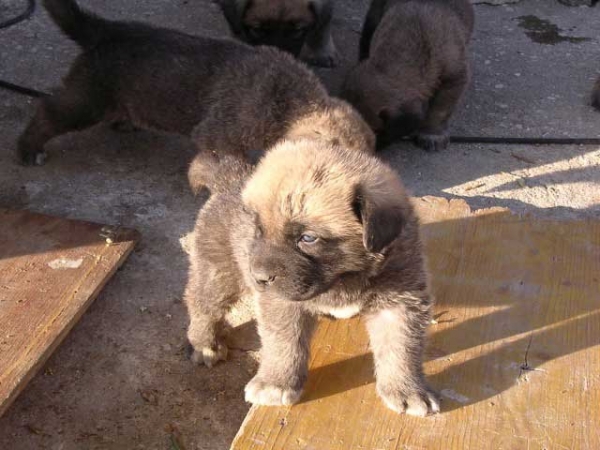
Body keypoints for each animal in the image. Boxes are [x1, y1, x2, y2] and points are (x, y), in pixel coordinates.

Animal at [19, 0, 370, 165]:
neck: (291, 101)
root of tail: (105, 29)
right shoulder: (217, 136)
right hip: (86, 99)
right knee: (49, 111)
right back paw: (29, 149)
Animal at [185, 142, 438, 418]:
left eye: (308, 238)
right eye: (259, 230)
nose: (259, 277)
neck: (344, 278)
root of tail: (228, 178)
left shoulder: (399, 300)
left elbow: (401, 347)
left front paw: (407, 390)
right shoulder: (283, 302)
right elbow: (283, 343)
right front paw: (276, 382)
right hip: (218, 272)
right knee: (202, 305)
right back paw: (205, 343)